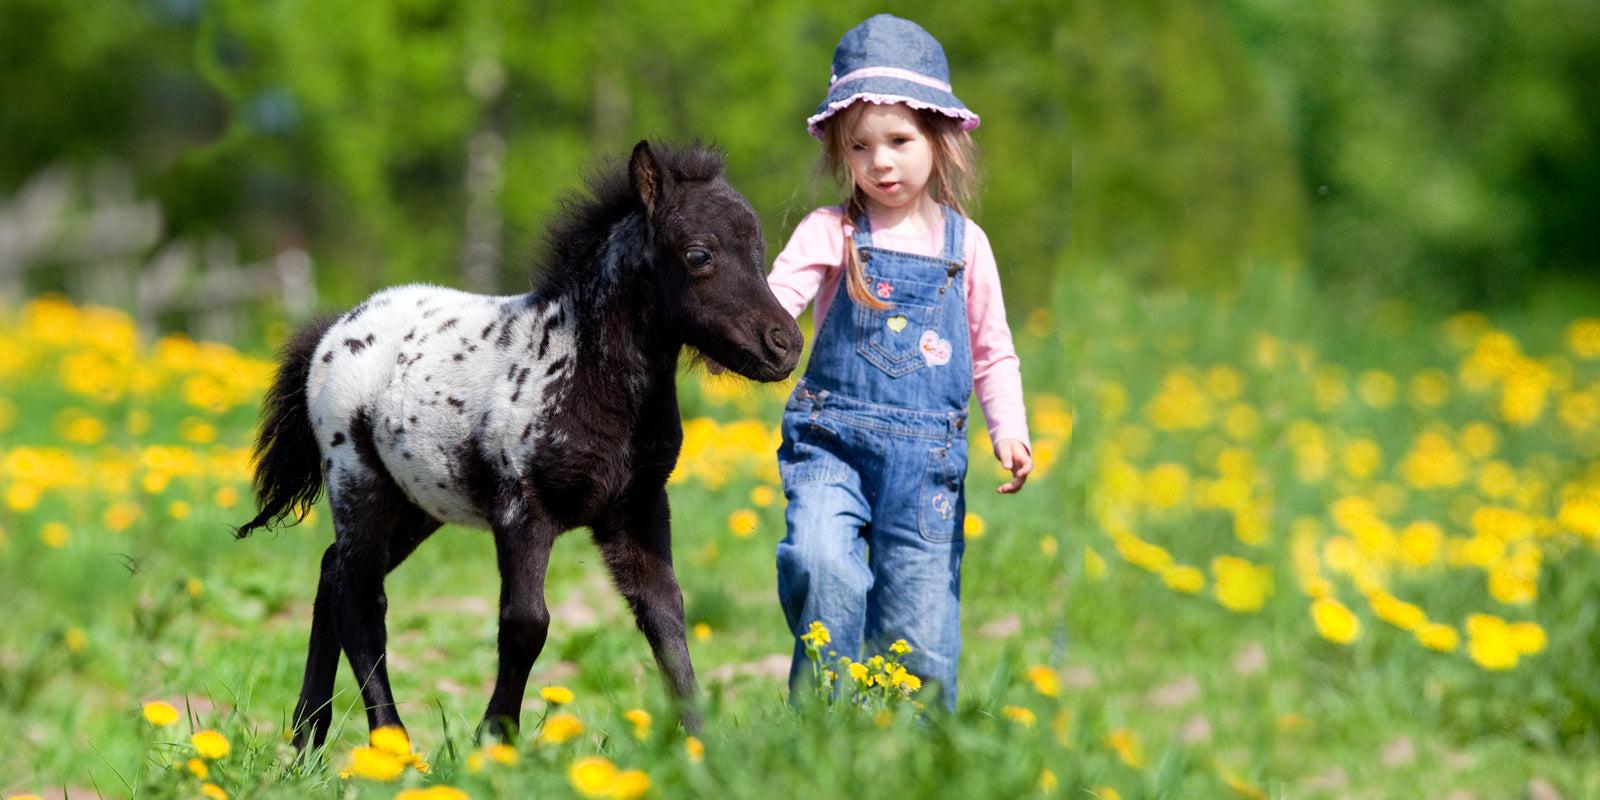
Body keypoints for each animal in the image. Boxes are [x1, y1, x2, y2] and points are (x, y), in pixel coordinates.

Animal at [235, 141, 802, 749]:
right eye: (699, 254)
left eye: (760, 250)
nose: (785, 345)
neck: (581, 372)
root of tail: (333, 329)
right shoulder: (523, 509)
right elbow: (526, 623)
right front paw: (493, 739)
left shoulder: (638, 506)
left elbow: (664, 612)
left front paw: (699, 743)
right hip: (359, 484)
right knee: (359, 600)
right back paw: (391, 743)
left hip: (419, 502)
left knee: (331, 573)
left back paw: (307, 736)